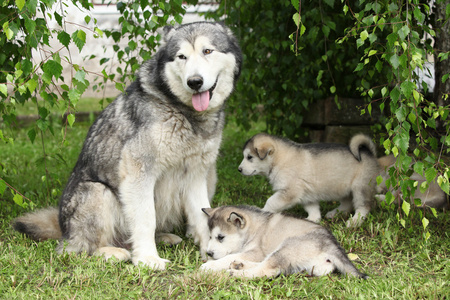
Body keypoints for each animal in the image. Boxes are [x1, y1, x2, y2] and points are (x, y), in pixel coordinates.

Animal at [11, 21, 243, 270]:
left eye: (207, 51)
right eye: (182, 56)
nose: (194, 82)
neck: (182, 111)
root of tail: (63, 228)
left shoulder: (196, 174)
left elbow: (202, 216)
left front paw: (212, 252)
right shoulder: (138, 173)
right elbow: (145, 220)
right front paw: (147, 259)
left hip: (211, 177)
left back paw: (164, 237)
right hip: (98, 192)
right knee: (78, 249)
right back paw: (112, 252)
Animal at [201, 205, 370, 278]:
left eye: (220, 237)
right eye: (210, 236)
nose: (209, 252)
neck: (253, 229)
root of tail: (330, 242)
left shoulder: (256, 252)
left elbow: (228, 256)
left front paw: (209, 265)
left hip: (287, 247)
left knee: (267, 270)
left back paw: (235, 272)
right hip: (310, 266)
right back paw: (239, 265)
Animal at [239, 132, 380, 226]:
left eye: (249, 157)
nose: (239, 169)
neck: (279, 160)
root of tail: (370, 153)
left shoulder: (289, 192)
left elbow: (271, 202)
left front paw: (262, 212)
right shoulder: (306, 194)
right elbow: (312, 209)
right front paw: (313, 219)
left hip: (360, 188)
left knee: (363, 207)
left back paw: (354, 221)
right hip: (343, 187)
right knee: (347, 203)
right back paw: (335, 213)